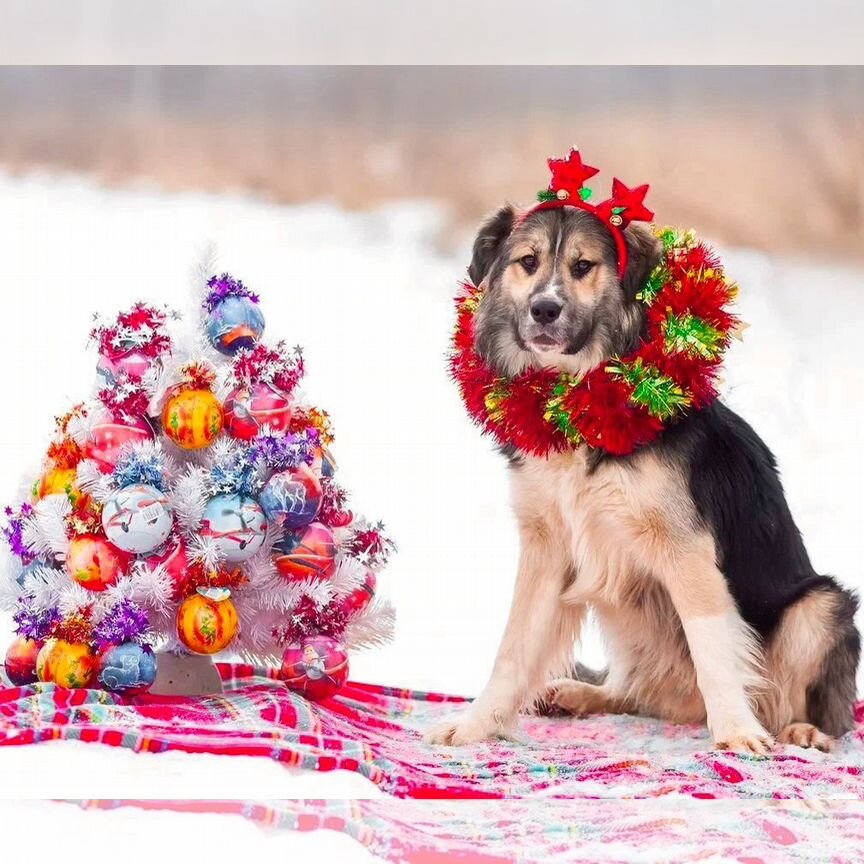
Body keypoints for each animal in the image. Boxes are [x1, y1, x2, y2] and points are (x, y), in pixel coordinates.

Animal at [426, 202, 856, 748]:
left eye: (583, 266)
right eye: (528, 261)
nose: (544, 309)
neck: (579, 405)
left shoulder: (686, 550)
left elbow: (713, 648)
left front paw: (737, 732)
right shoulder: (549, 546)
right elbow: (514, 648)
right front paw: (476, 724)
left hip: (820, 605)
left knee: (804, 706)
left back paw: (800, 730)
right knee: (640, 695)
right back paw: (580, 695)